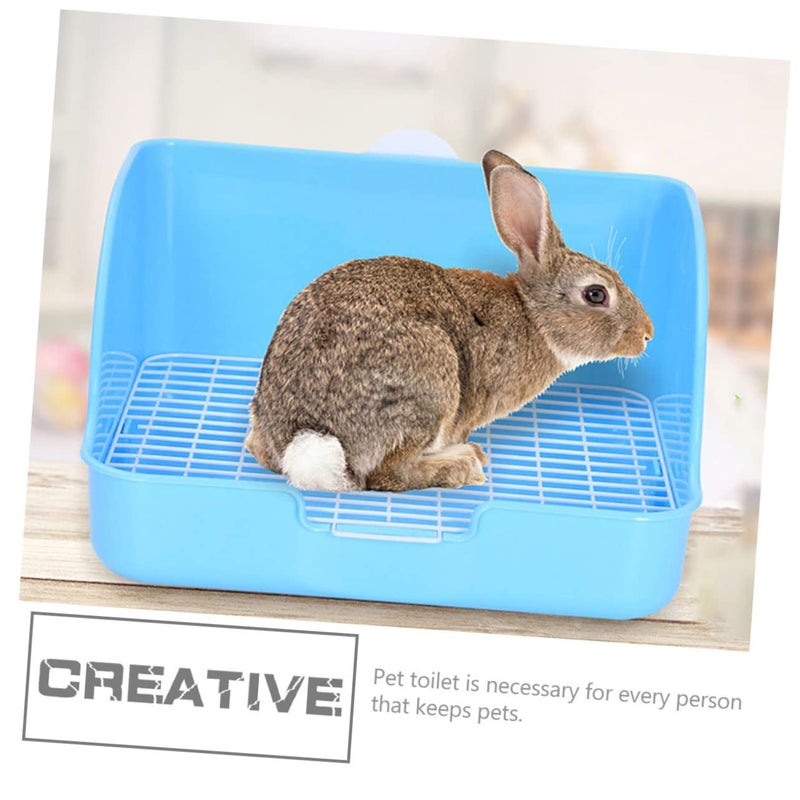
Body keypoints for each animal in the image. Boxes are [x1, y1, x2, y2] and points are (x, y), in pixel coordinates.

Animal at [246, 150, 654, 493]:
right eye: (596, 294)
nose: (647, 334)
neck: (532, 315)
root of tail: (308, 436)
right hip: (431, 382)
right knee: (385, 475)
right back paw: (463, 464)